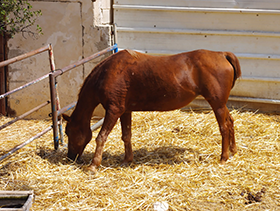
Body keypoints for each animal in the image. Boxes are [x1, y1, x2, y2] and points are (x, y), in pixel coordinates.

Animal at [63, 49, 241, 173]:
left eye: (68, 132)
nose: (70, 157)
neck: (107, 73)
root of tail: (222, 55)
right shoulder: (125, 111)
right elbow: (126, 136)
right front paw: (127, 160)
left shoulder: (114, 111)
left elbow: (101, 137)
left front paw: (93, 166)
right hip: (220, 104)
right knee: (230, 122)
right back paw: (233, 151)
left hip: (217, 104)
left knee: (224, 127)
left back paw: (224, 157)